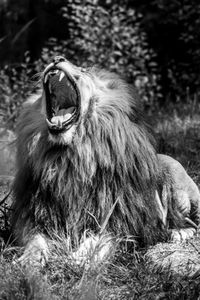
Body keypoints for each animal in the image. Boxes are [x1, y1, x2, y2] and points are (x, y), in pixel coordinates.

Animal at [11, 56, 200, 268]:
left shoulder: (120, 218)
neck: (72, 157)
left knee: (192, 222)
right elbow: (35, 239)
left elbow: (100, 238)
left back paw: (178, 232)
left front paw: (83, 258)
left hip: (174, 173)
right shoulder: (34, 213)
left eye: (83, 70)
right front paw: (29, 259)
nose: (56, 58)